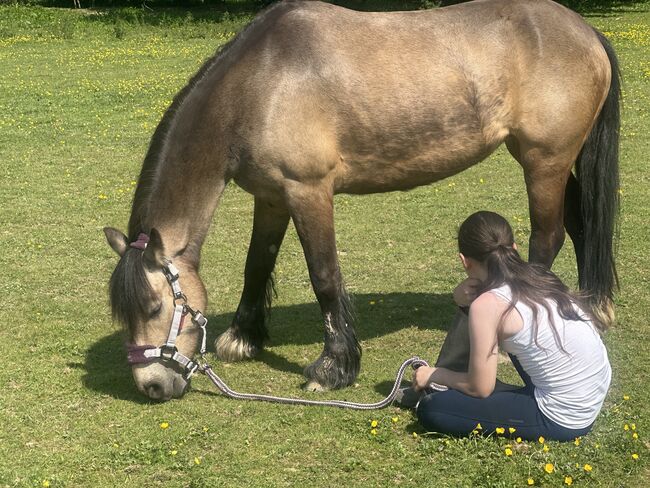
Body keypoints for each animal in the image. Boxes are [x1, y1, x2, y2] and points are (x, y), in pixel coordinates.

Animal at [102, 0, 616, 402]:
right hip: (549, 161)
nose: (152, 386)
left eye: (153, 308)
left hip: (544, 161)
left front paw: (333, 368)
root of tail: (584, 30)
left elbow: (324, 276)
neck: (260, 83)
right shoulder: (272, 198)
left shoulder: (308, 192)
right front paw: (244, 338)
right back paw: (593, 305)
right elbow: (257, 264)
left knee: (548, 237)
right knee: (582, 224)